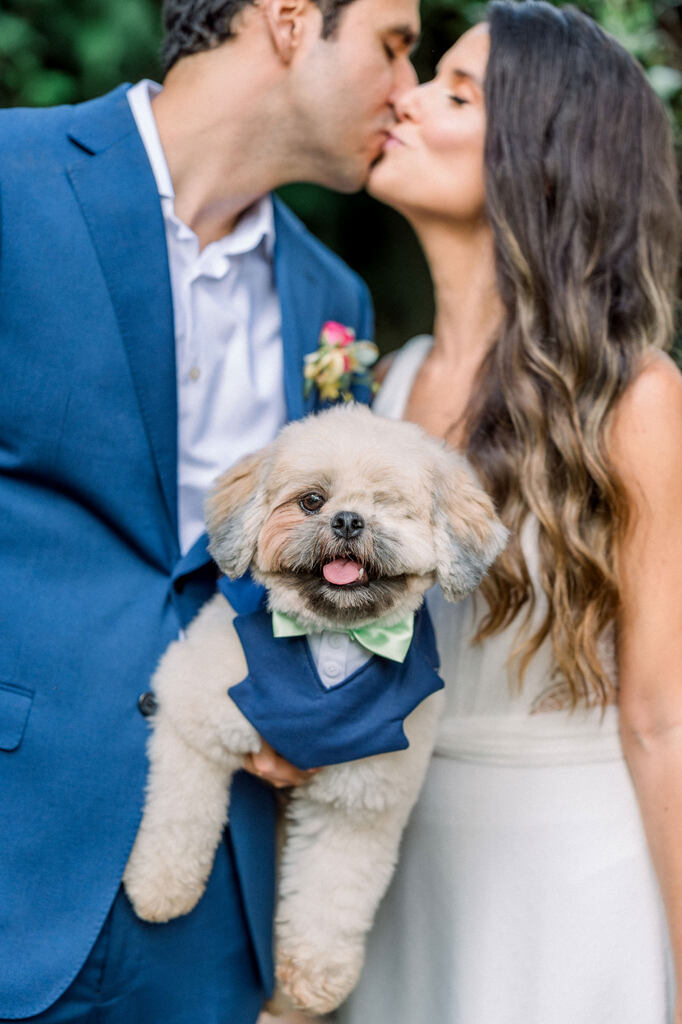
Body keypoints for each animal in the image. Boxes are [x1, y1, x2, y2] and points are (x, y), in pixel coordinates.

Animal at [122, 403, 503, 1011]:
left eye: (386, 505)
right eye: (311, 501)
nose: (347, 521)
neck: (333, 637)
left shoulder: (360, 802)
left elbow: (333, 894)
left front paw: (317, 975)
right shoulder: (190, 711)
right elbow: (181, 816)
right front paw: (161, 888)